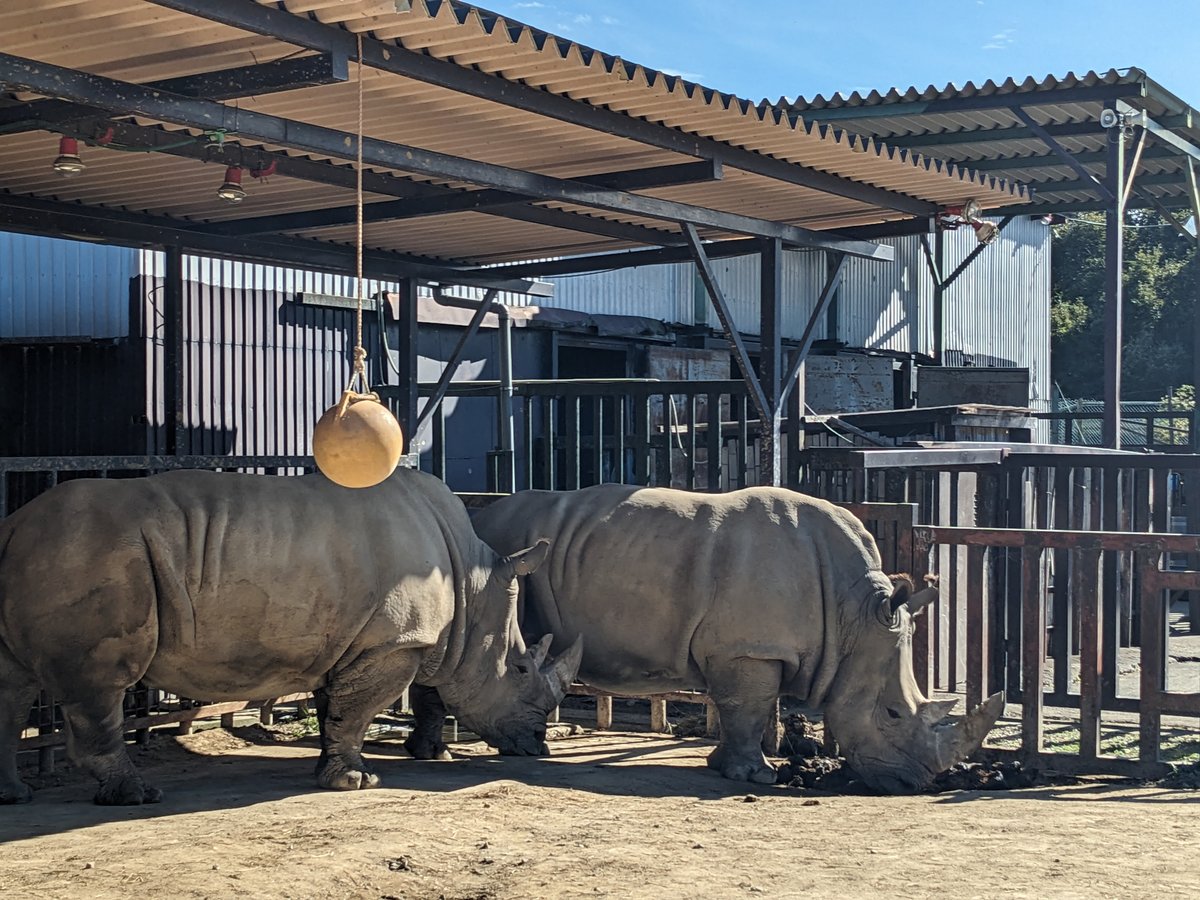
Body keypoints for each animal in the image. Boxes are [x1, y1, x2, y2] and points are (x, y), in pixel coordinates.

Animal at [0, 468, 581, 805]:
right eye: (520, 669)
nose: (538, 744)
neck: (472, 584)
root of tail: (13, 524)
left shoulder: (353, 640)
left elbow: (336, 710)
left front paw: (337, 772)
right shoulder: (395, 642)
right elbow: (357, 711)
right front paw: (356, 784)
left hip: (62, 552)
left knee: (14, 682)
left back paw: (14, 797)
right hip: (91, 553)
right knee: (99, 686)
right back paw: (138, 795)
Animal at [455, 484, 1002, 794]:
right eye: (891, 715)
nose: (916, 785)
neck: (855, 615)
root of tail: (479, 515)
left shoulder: (743, 648)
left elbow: (739, 707)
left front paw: (723, 766)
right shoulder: (750, 649)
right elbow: (749, 707)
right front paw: (755, 778)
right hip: (507, 545)